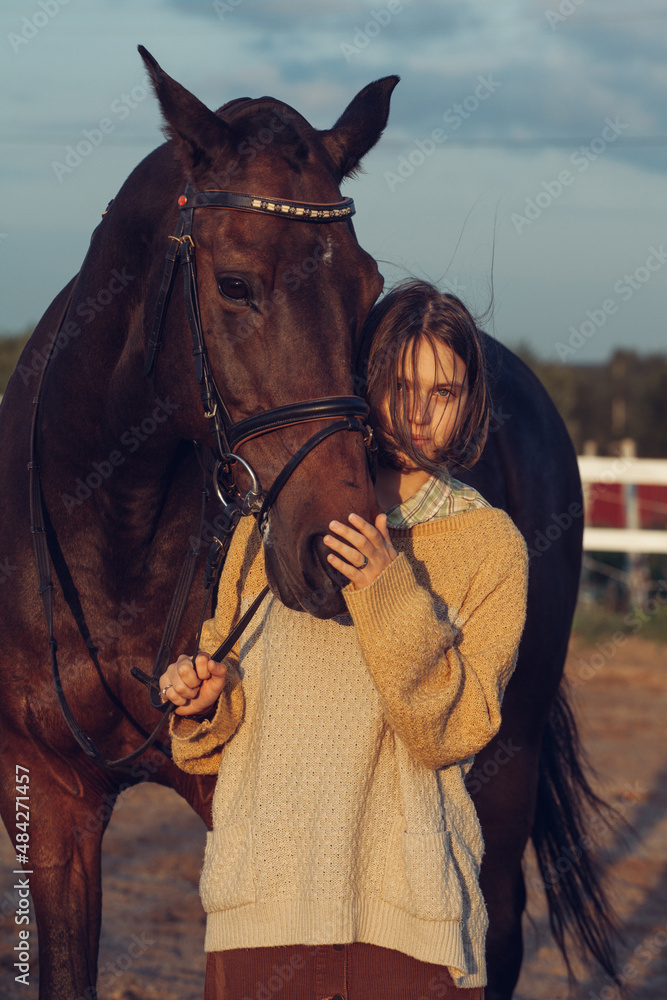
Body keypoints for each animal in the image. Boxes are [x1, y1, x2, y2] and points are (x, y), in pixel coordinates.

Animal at [0, 49, 616, 1000]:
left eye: (367, 287)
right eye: (235, 283)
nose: (330, 553)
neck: (110, 530)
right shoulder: (51, 798)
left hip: (505, 753)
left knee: (499, 927)